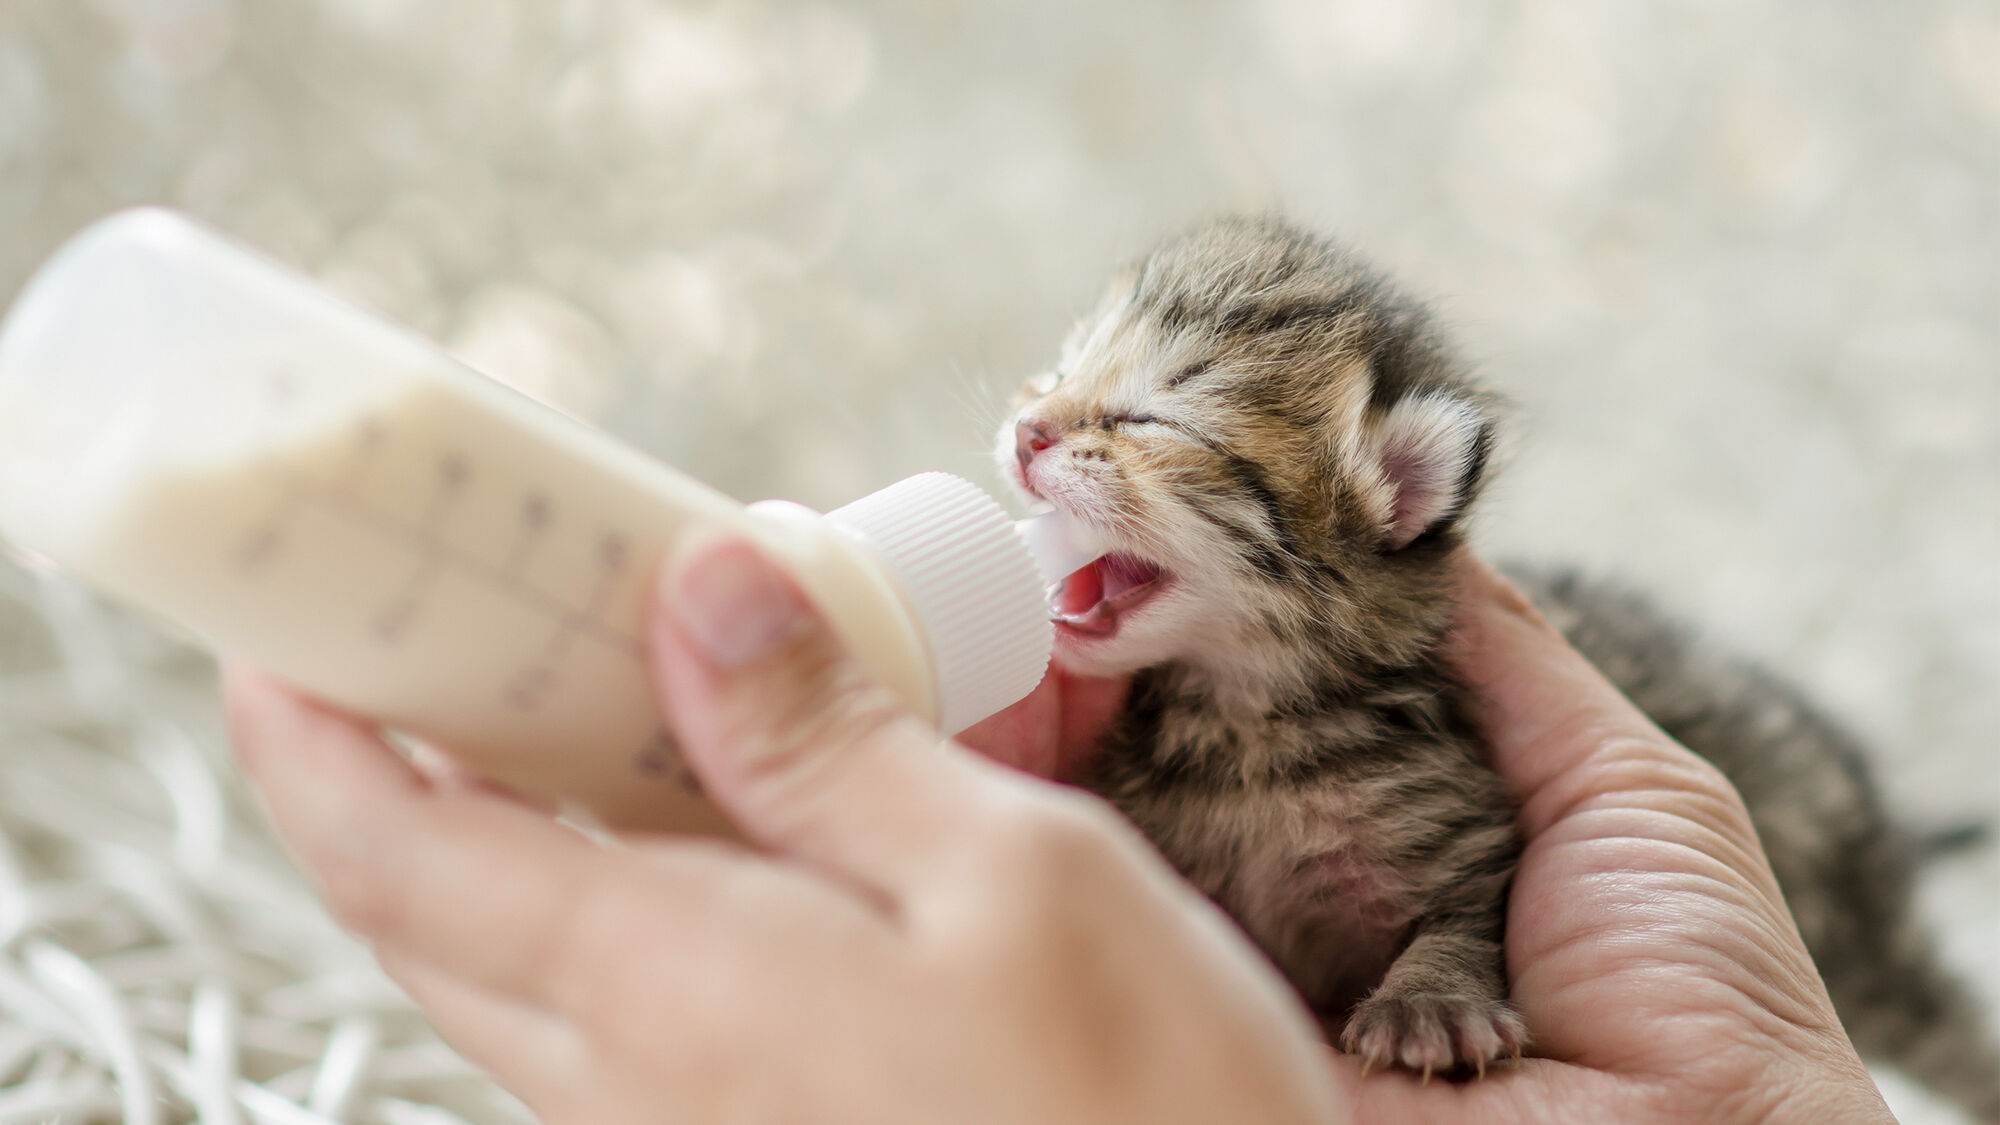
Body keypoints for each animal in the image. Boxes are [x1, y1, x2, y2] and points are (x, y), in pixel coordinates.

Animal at [1000, 212, 2000, 1112]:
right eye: (1058, 370)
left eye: (1148, 416)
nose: (1025, 431)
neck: (1247, 723)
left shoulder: (1469, 830)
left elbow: (1466, 920)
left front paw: (1430, 1001)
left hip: (1864, 933)